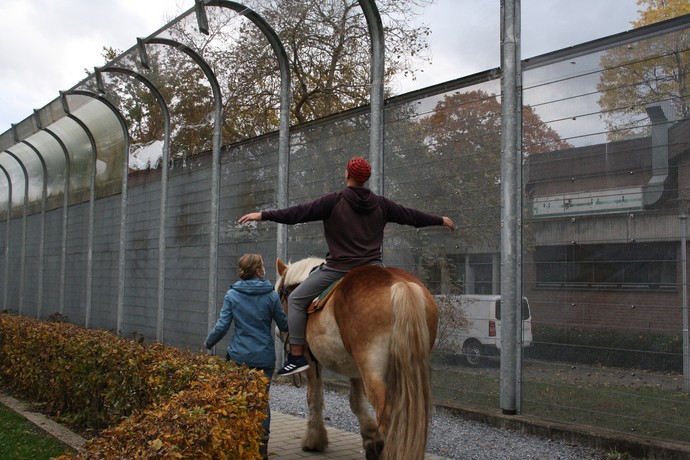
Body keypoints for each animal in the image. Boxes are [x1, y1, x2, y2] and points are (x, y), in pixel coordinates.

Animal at [272, 256, 436, 460]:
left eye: (280, 294)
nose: (278, 331)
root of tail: (400, 285)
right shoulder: (356, 369)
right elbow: (356, 402)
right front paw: (371, 440)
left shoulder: (311, 360)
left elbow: (314, 397)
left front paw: (314, 440)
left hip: (373, 370)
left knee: (388, 414)